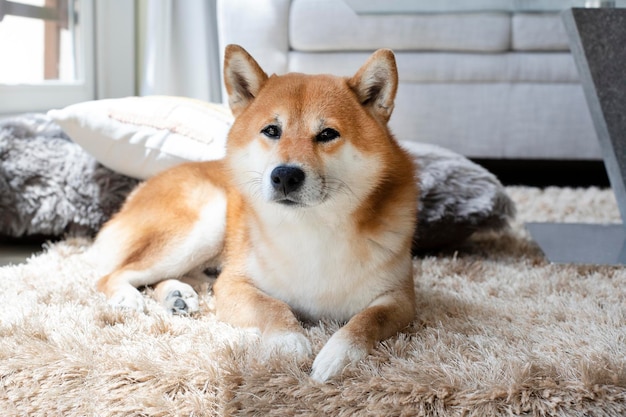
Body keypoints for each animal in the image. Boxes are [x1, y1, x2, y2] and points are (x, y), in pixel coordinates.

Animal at [91, 44, 414, 380]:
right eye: (272, 130)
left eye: (327, 134)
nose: (285, 175)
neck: (310, 228)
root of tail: (140, 188)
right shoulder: (233, 284)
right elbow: (274, 307)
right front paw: (289, 342)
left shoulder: (401, 298)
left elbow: (366, 321)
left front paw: (338, 356)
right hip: (204, 223)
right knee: (113, 275)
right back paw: (129, 297)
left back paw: (176, 295)